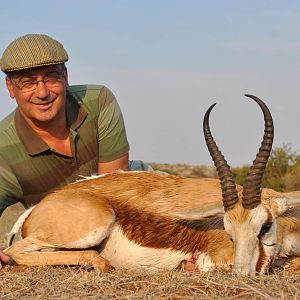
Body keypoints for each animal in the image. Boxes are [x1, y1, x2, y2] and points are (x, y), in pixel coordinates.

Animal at [2, 95, 300, 276]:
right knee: (13, 252)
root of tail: (37, 208)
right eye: (228, 232)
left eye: (265, 225)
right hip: (92, 227)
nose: (241, 274)